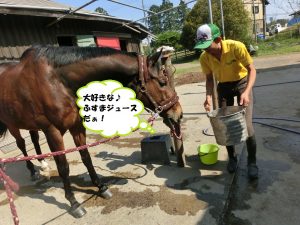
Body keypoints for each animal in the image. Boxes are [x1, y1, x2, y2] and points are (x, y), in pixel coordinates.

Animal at [0, 46, 183, 218]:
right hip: (12, 124)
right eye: (162, 82)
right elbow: (63, 167)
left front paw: (101, 187)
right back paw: (32, 171)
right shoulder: (52, 131)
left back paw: (43, 165)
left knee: (34, 139)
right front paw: (74, 203)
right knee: (22, 144)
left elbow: (86, 158)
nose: (178, 113)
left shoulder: (77, 126)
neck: (58, 82)